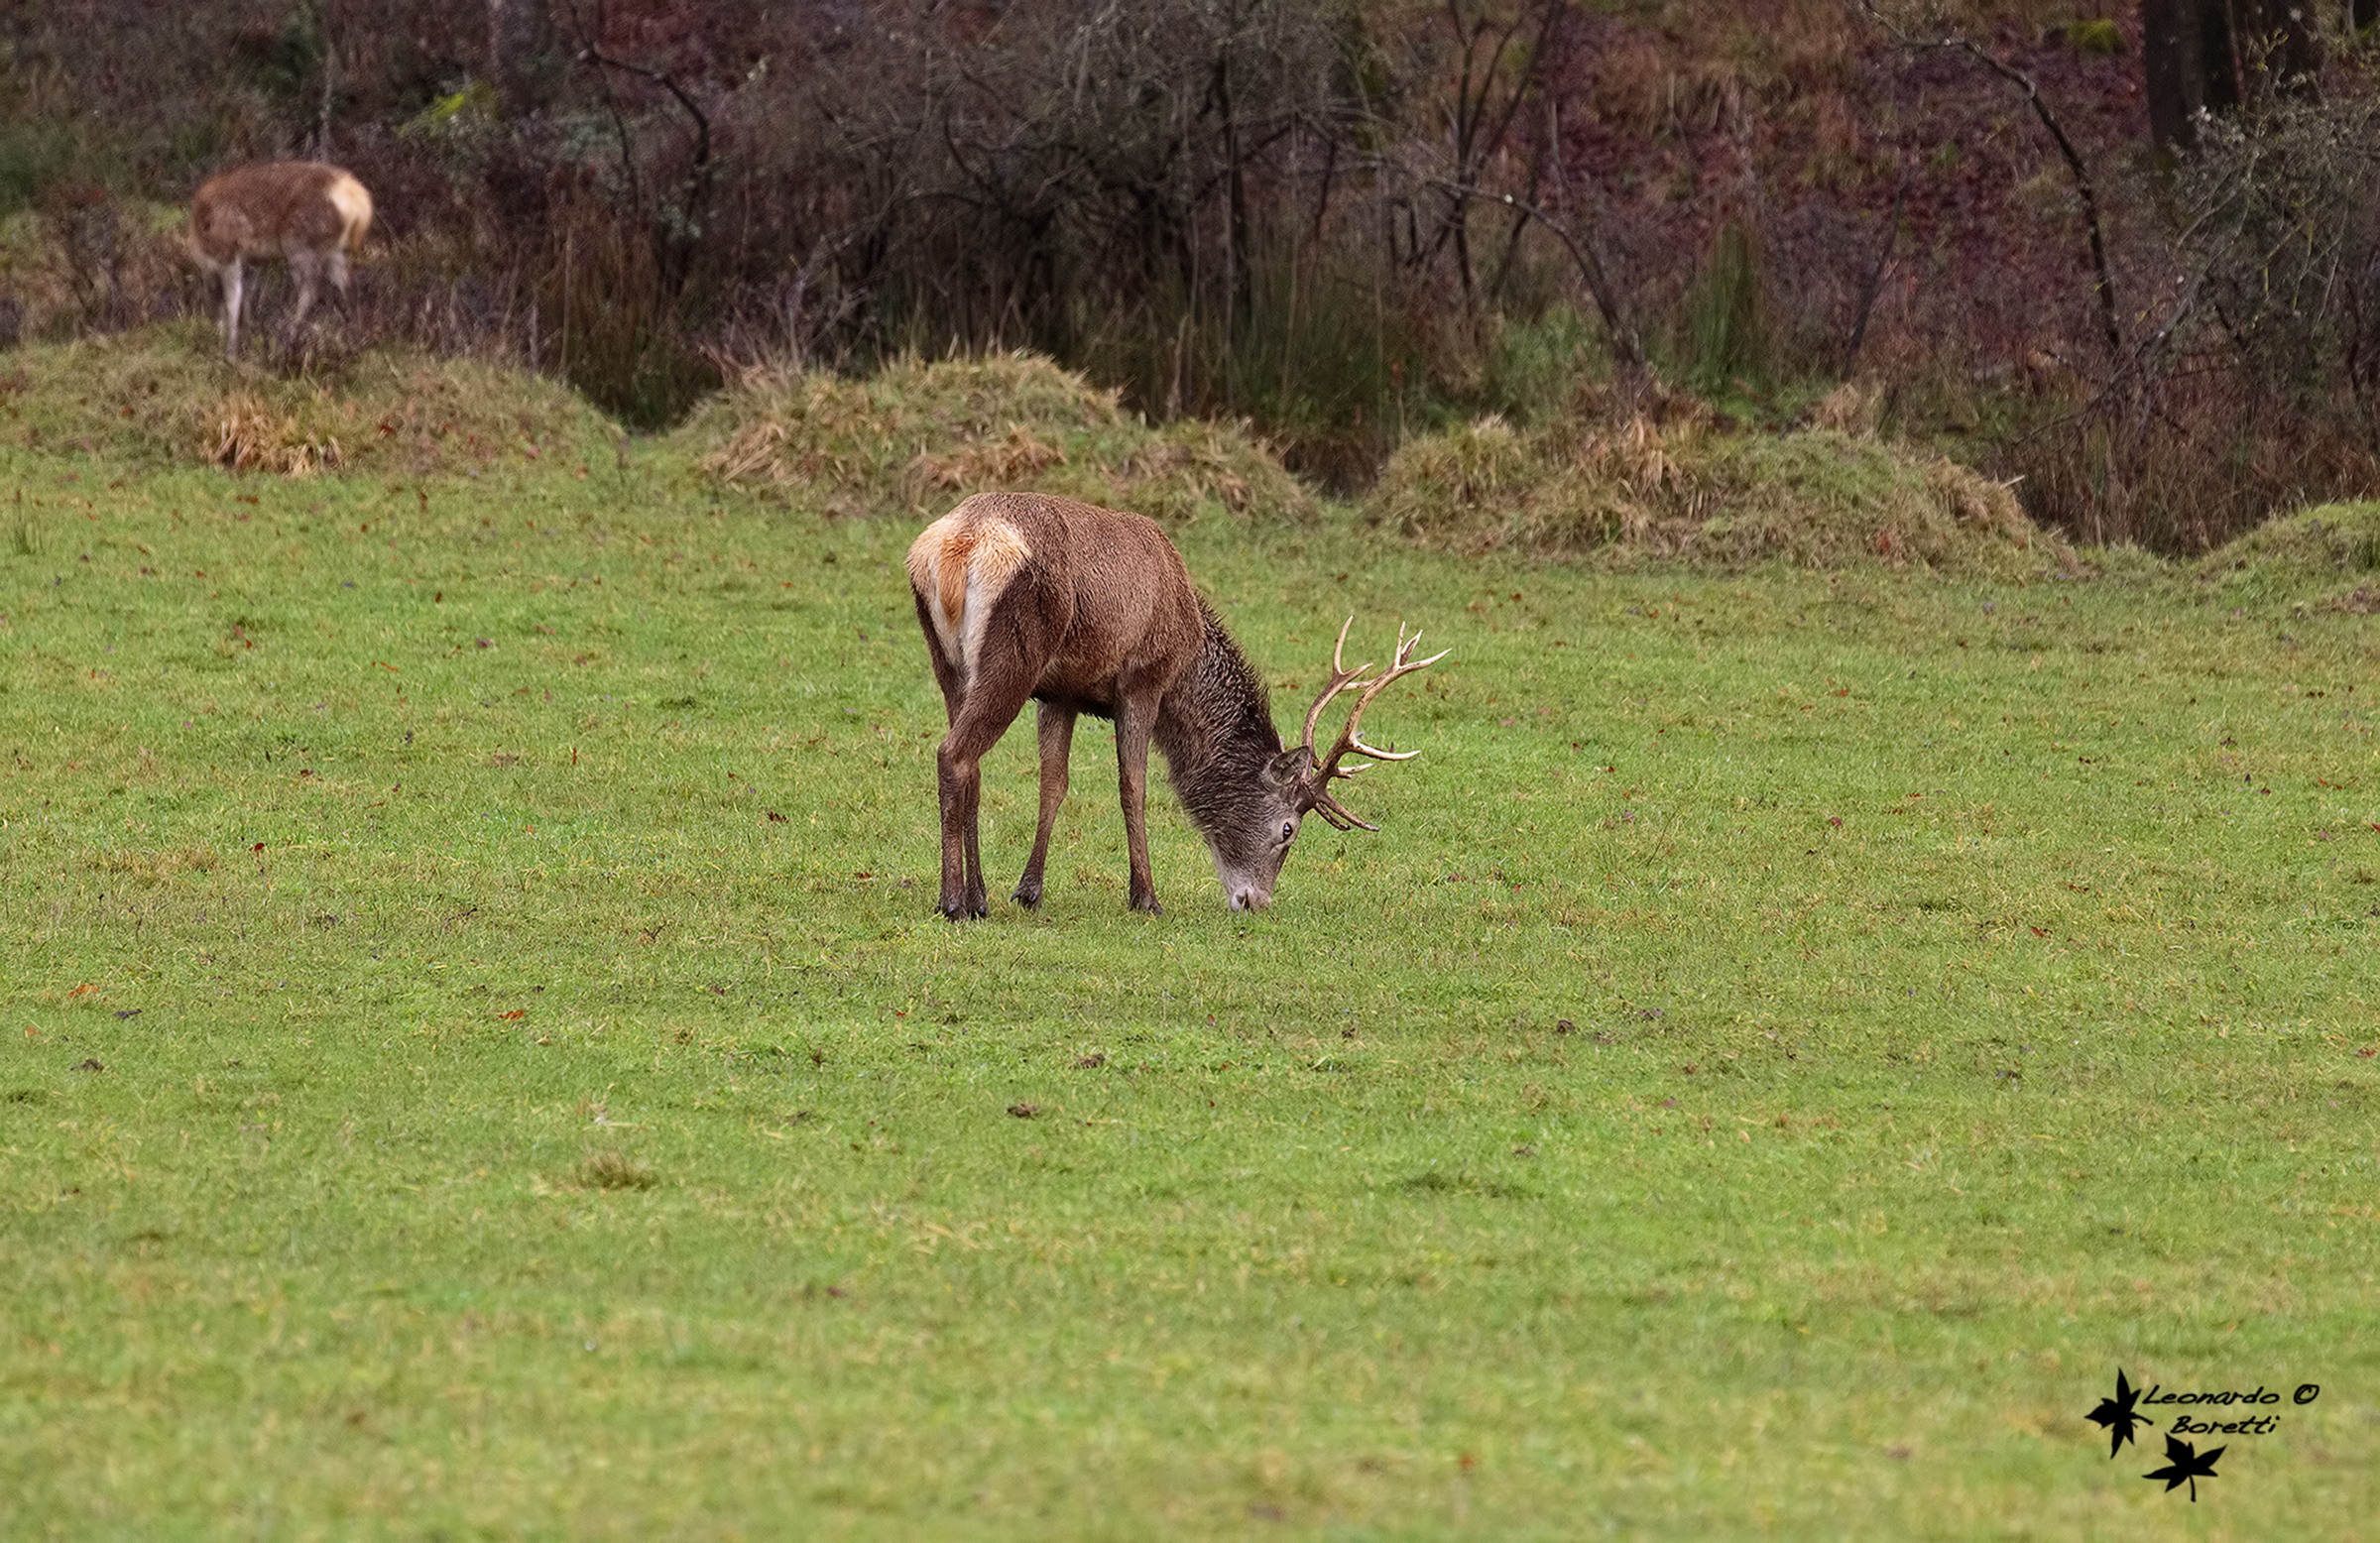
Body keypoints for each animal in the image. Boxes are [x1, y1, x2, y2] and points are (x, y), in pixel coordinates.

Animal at [187, 161, 374, 360]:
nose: (216, 333)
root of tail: (358, 202)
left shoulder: (227, 253)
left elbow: (233, 300)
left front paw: (231, 353)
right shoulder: (254, 261)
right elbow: (246, 299)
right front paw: (247, 345)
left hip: (299, 242)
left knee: (310, 290)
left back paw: (288, 341)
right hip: (336, 249)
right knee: (349, 286)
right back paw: (357, 343)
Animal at [907, 491, 1446, 918]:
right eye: (1288, 829)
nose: (1255, 901)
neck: (1187, 659)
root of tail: (957, 546)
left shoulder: (1062, 692)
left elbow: (1053, 785)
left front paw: (1028, 890)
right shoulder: (1144, 678)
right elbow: (1134, 786)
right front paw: (1145, 897)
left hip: (948, 660)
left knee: (971, 763)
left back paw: (977, 897)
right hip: (1016, 651)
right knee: (953, 753)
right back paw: (952, 901)